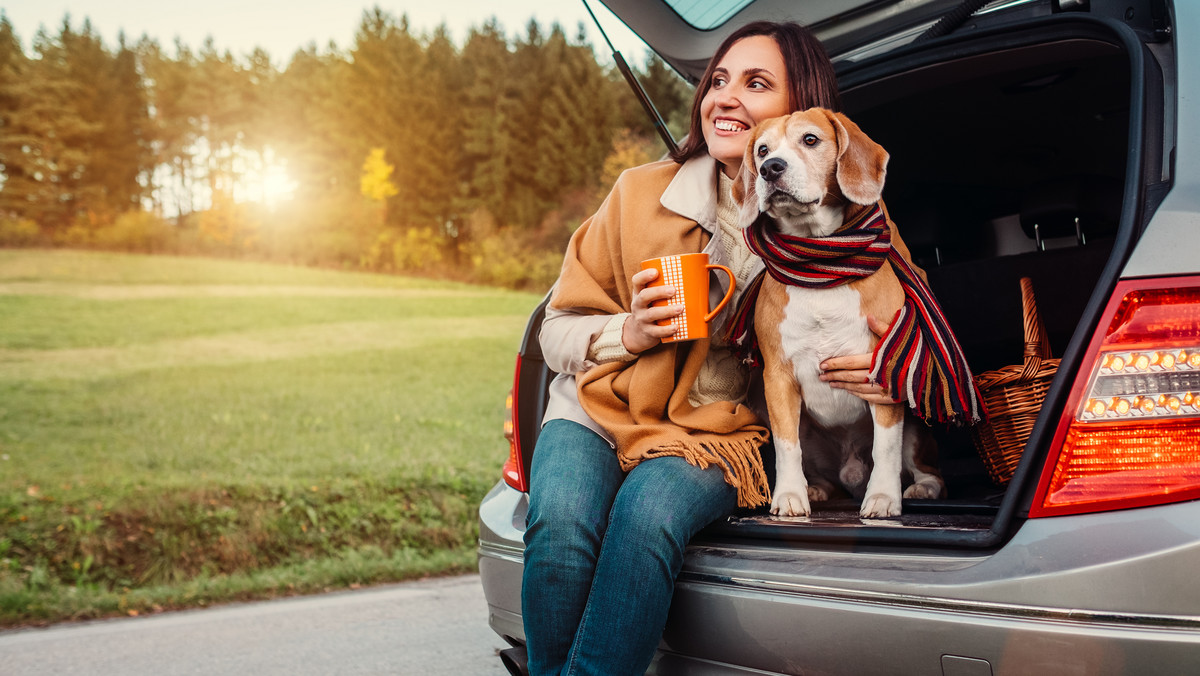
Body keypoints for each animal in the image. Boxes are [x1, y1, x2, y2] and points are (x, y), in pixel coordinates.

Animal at [729, 108, 945, 516]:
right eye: (762, 149)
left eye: (810, 140)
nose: (770, 168)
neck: (820, 264)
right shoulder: (778, 379)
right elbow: (786, 446)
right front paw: (790, 495)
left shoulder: (881, 371)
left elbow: (886, 446)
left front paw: (883, 497)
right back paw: (816, 488)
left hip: (916, 429)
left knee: (925, 468)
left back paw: (922, 487)